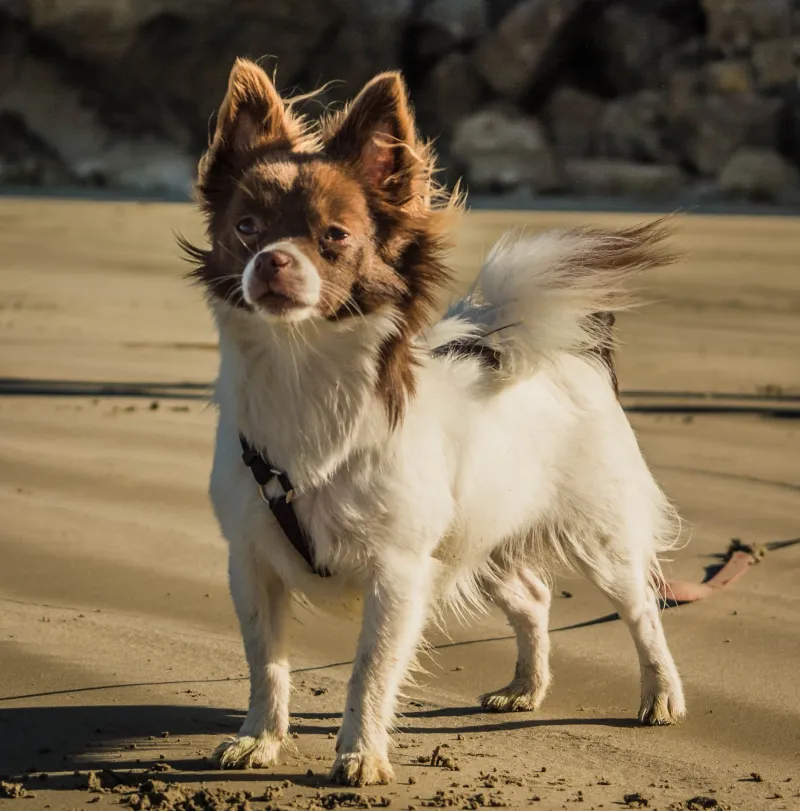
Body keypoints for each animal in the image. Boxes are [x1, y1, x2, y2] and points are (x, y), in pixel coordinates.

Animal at [183, 57, 688, 788]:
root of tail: (574, 353)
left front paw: (360, 753)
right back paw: (525, 687)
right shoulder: (252, 561)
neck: (302, 375)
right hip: (481, 534)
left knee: (642, 609)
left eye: (335, 237)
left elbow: (370, 668)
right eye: (246, 228)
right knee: (533, 597)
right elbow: (266, 662)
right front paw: (260, 739)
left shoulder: (398, 571)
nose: (272, 260)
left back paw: (660, 694)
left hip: (600, 540)